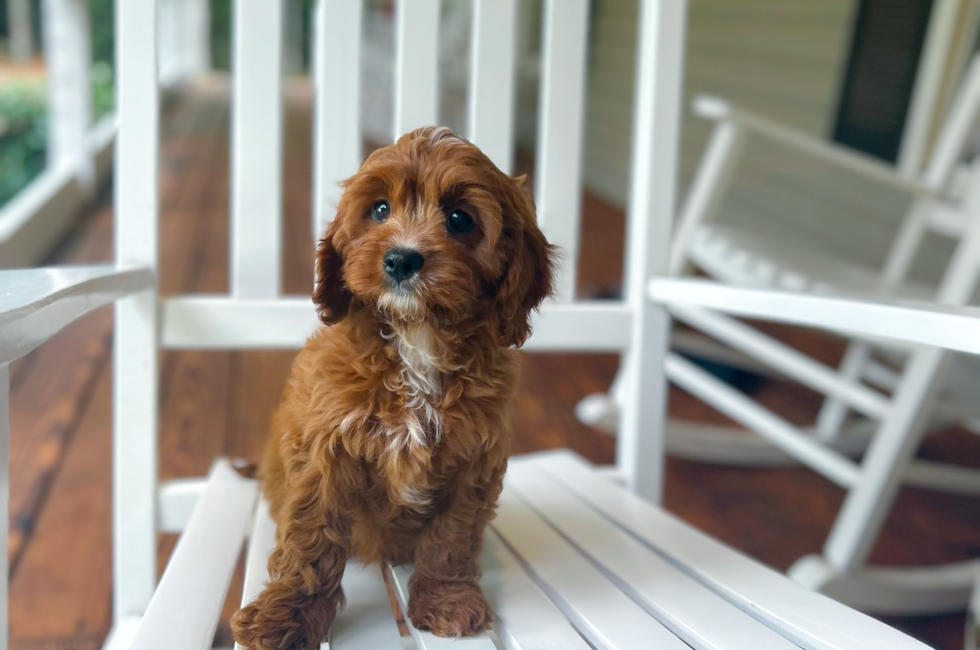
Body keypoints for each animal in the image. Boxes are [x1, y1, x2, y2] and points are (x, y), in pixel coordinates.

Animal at [228, 128, 552, 648]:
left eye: (459, 219)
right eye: (380, 209)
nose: (401, 258)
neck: (416, 338)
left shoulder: (473, 460)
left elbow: (451, 536)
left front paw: (446, 600)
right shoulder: (326, 449)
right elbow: (311, 536)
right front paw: (285, 617)